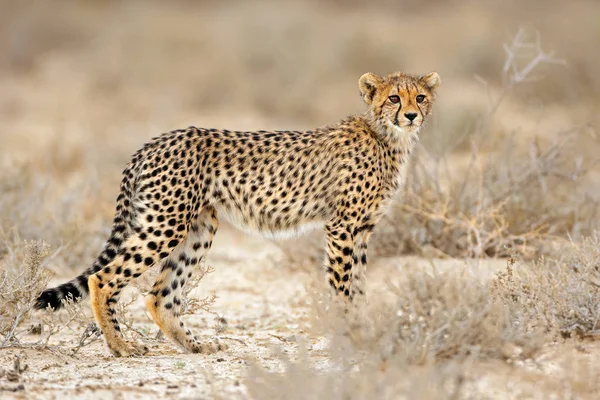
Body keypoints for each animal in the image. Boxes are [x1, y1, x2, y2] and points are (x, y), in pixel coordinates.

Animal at [36, 70, 440, 358]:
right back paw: (121, 346)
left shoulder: (363, 230)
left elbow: (358, 286)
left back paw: (196, 346)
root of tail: (156, 140)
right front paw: (350, 335)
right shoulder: (342, 227)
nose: (410, 115)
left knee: (159, 296)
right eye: (393, 97)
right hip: (166, 223)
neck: (388, 137)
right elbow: (342, 287)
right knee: (102, 278)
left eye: (420, 97)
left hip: (199, 227)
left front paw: (364, 332)